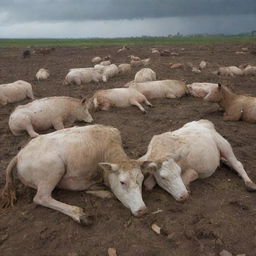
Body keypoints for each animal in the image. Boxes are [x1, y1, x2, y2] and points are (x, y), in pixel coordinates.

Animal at [0, 125, 154, 223]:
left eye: (141, 180)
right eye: (122, 182)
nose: (142, 210)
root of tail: (20, 154)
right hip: (54, 168)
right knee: (41, 197)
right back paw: (79, 214)